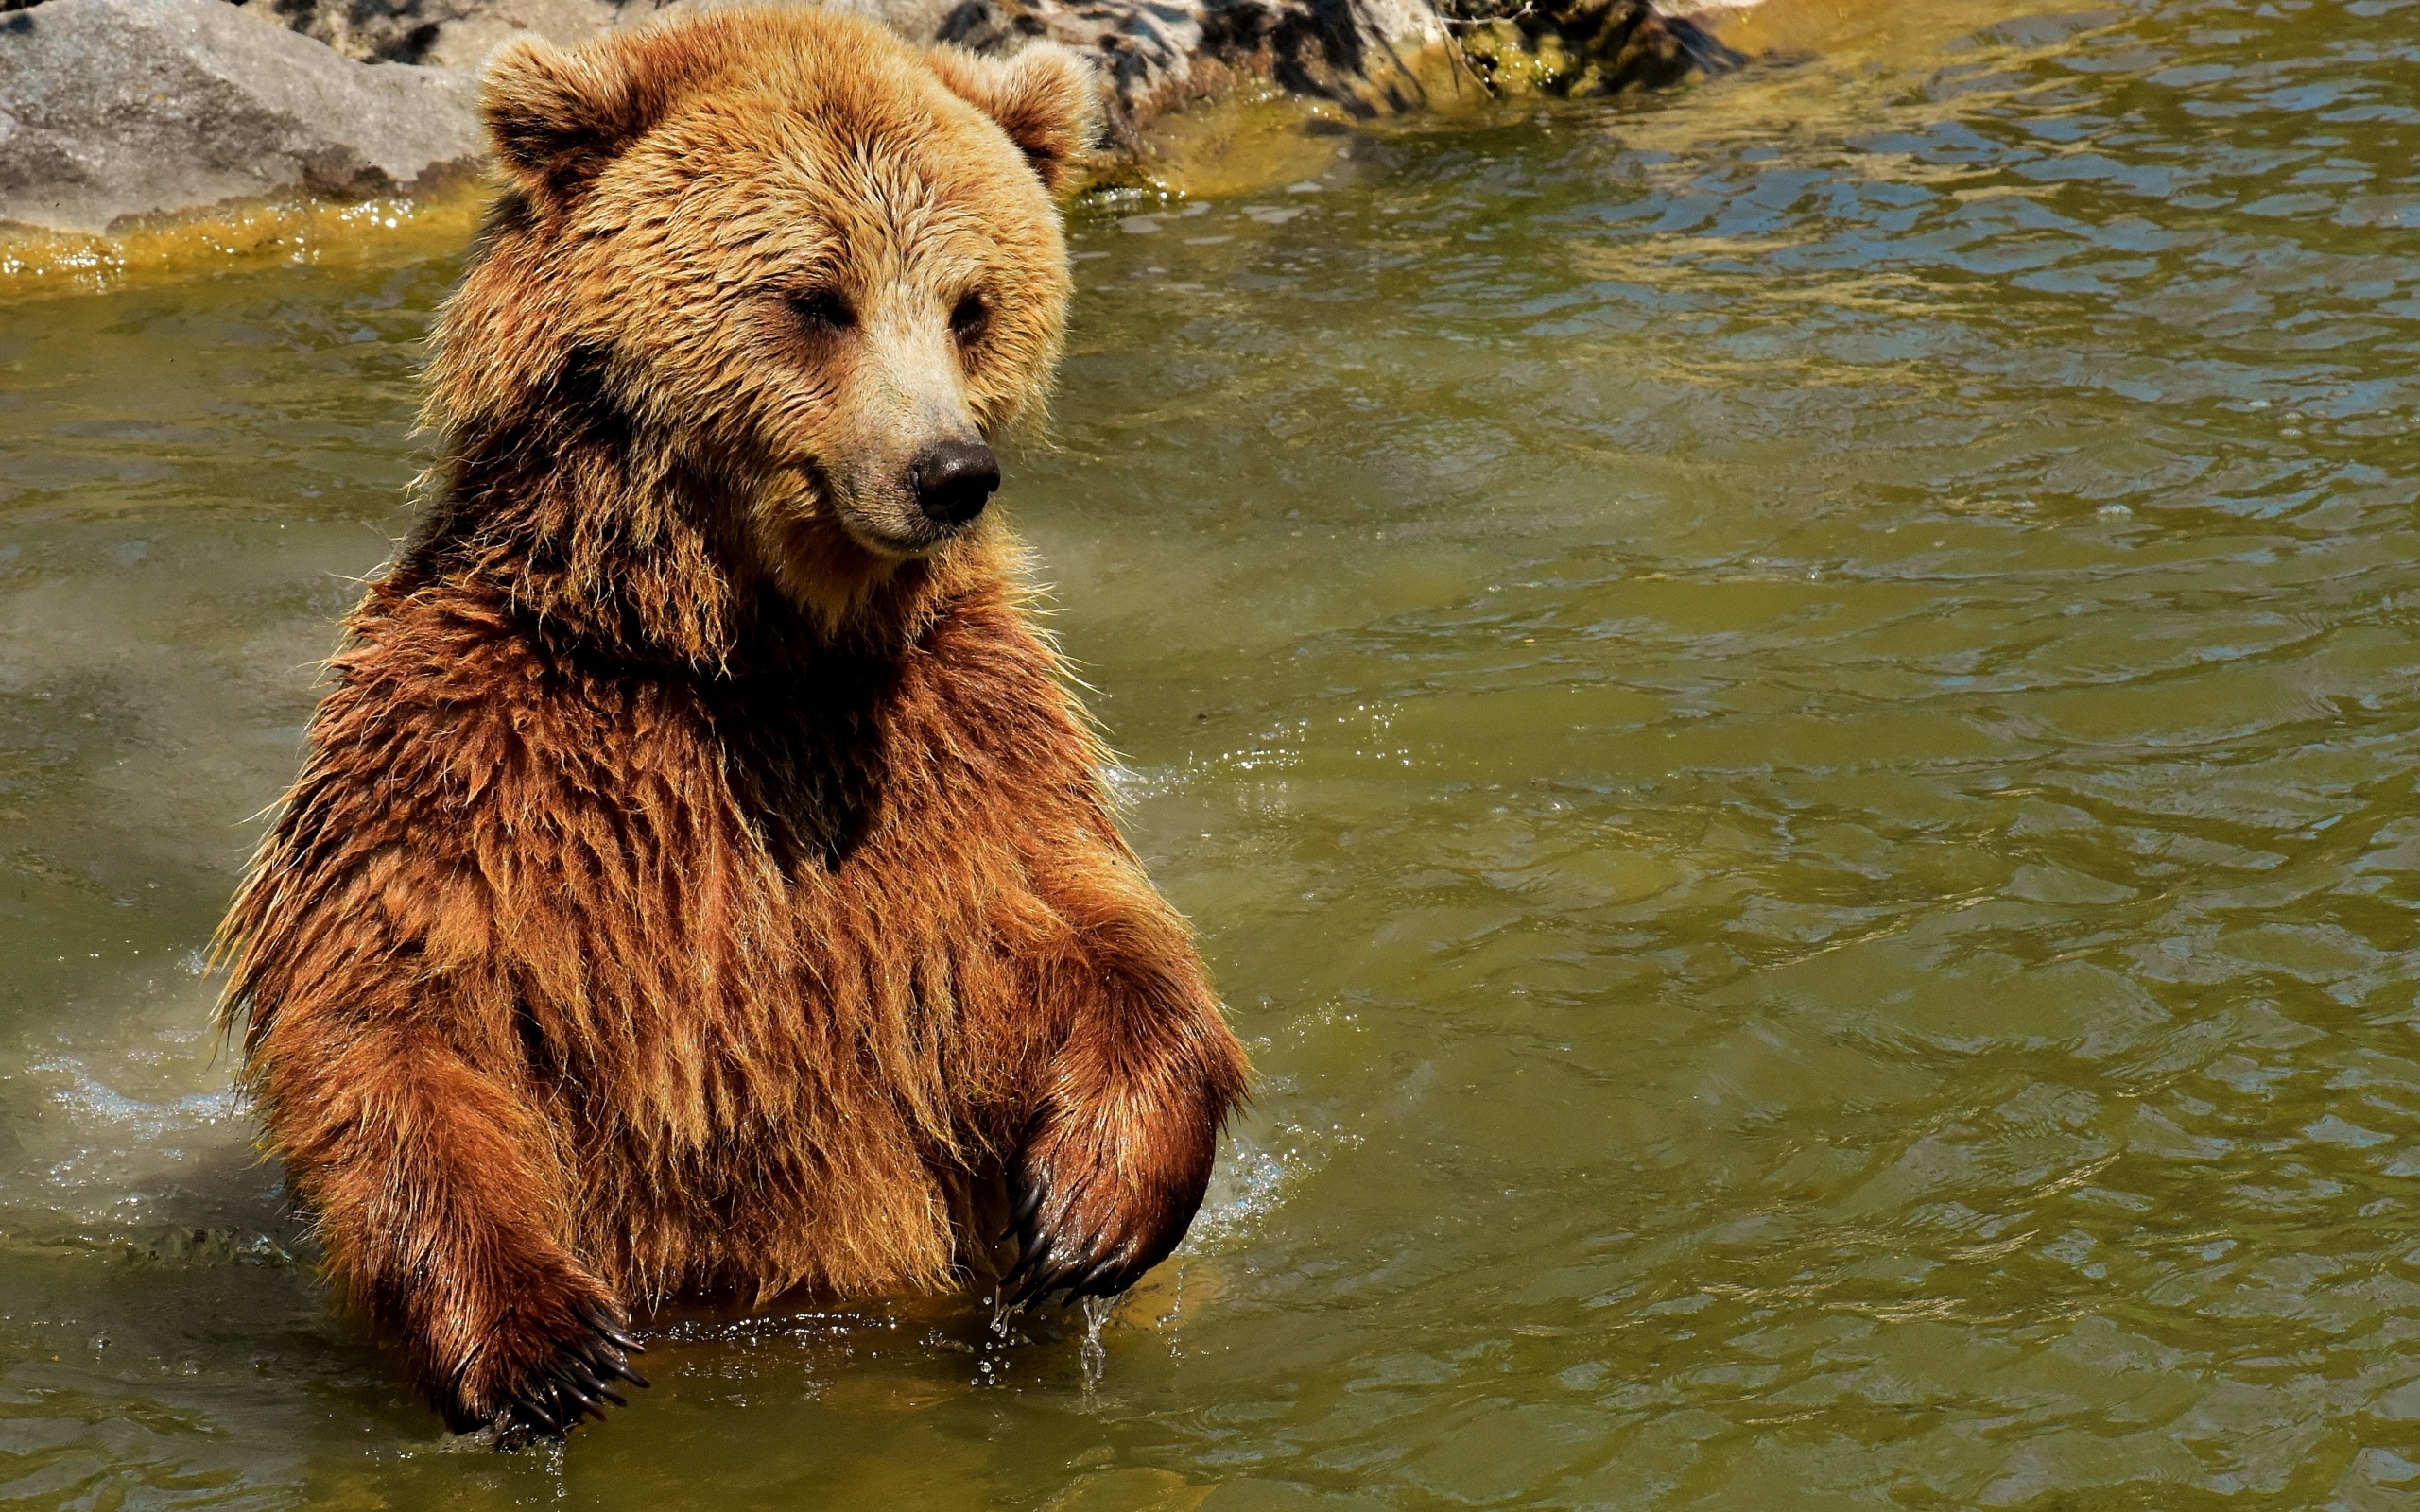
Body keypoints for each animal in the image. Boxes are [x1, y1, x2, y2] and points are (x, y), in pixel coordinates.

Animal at [212, 6, 1250, 1444]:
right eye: (817, 297)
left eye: (972, 303)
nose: (949, 471)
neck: (735, 657)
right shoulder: (467, 743)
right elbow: (400, 1006)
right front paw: (542, 1347)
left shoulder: (954, 736)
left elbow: (1078, 929)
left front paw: (1092, 1204)